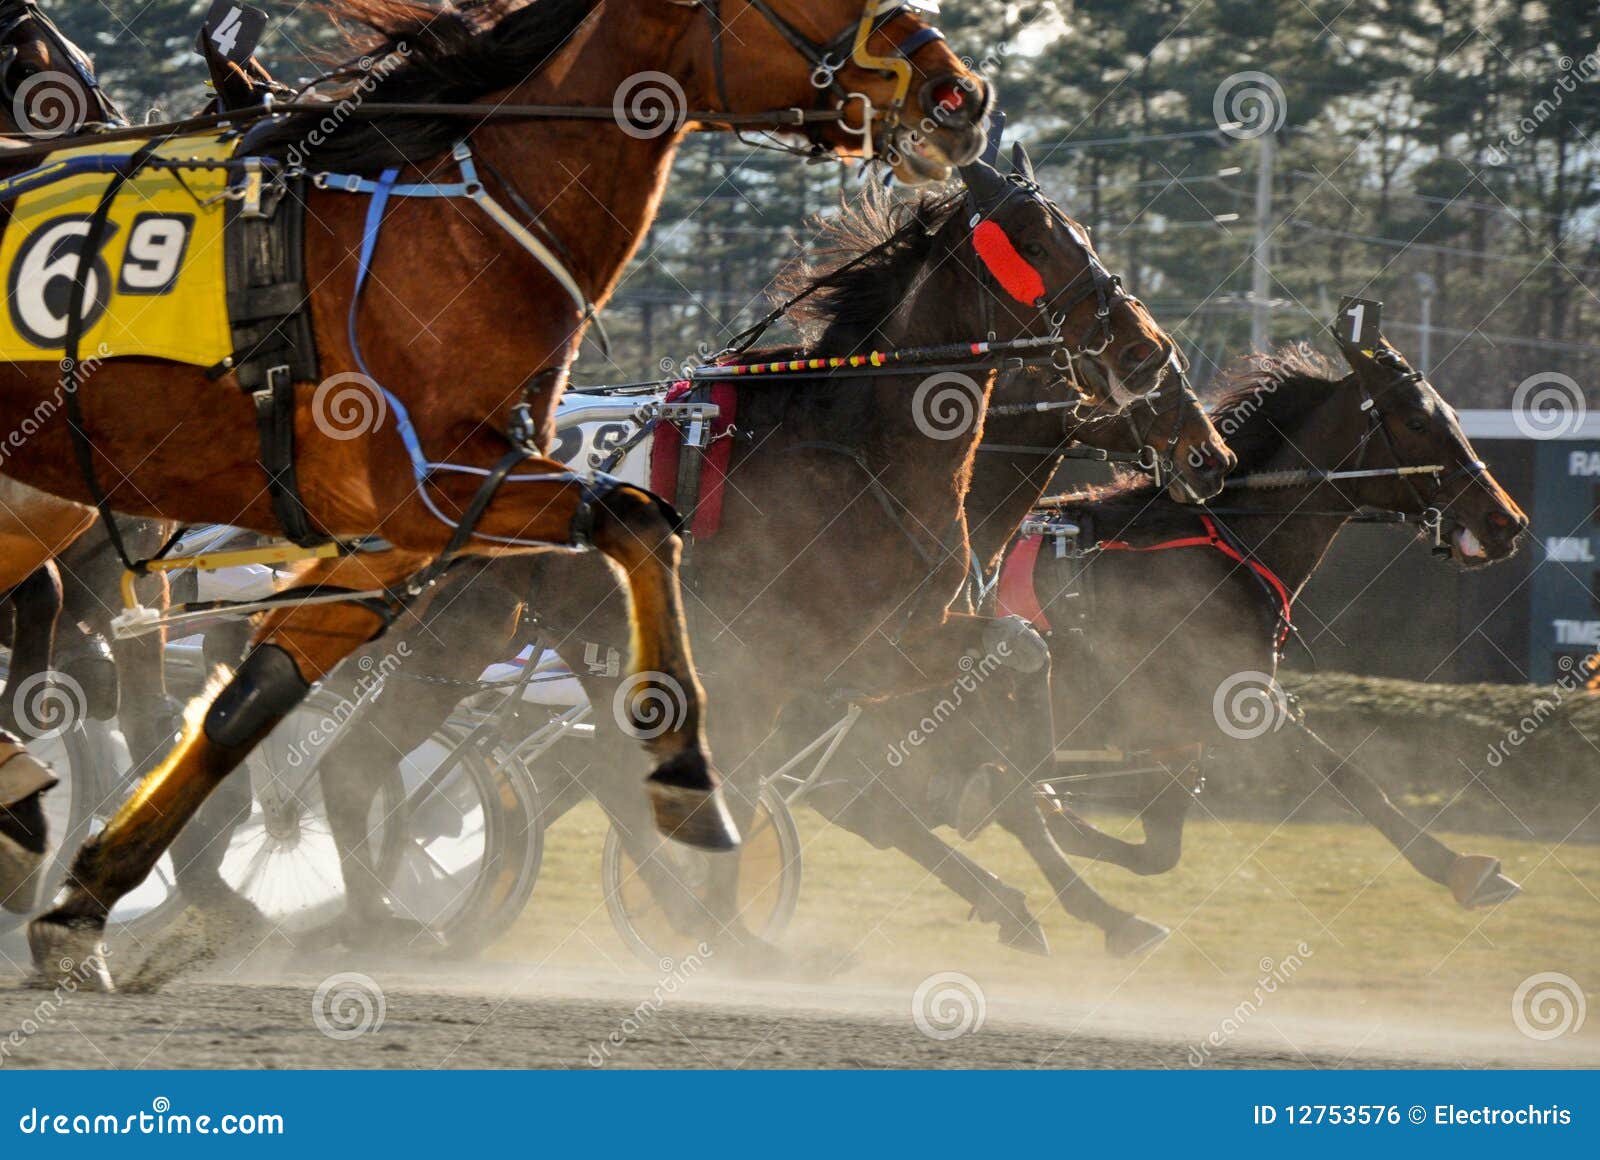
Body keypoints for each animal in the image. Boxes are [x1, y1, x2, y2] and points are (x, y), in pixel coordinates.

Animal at [0, 0, 993, 989]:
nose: (960, 94)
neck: (459, 229)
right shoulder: (435, 484)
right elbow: (639, 523)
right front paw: (683, 780)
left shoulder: (417, 528)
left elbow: (252, 697)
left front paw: (85, 901)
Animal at [983, 333, 1529, 909]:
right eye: (1417, 422)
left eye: (1452, 416)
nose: (1506, 521)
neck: (1227, 544)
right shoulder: (1217, 700)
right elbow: (1344, 773)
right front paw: (1462, 870)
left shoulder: (1174, 729)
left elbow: (1159, 848)